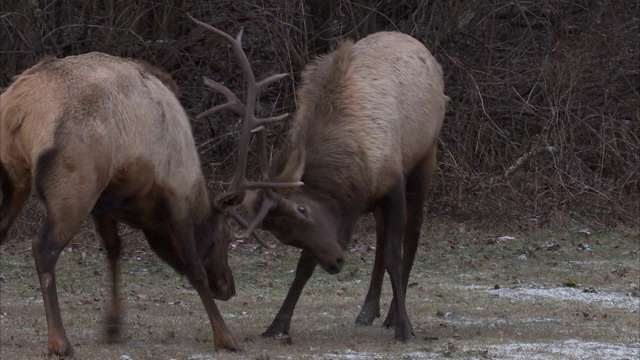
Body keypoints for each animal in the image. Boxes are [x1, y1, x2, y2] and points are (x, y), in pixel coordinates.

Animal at [0, 52, 246, 356]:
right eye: (227, 235)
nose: (229, 287)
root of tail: (16, 108)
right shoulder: (175, 196)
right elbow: (194, 267)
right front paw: (225, 337)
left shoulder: (104, 205)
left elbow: (114, 252)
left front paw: (113, 325)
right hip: (73, 188)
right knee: (44, 247)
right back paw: (60, 342)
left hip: (16, 182)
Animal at [190, 15, 448, 344]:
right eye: (285, 236)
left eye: (303, 209)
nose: (336, 263)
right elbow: (305, 266)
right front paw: (277, 325)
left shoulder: (394, 182)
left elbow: (395, 253)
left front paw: (404, 327)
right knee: (380, 237)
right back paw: (367, 310)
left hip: (427, 156)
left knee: (412, 235)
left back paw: (391, 315)